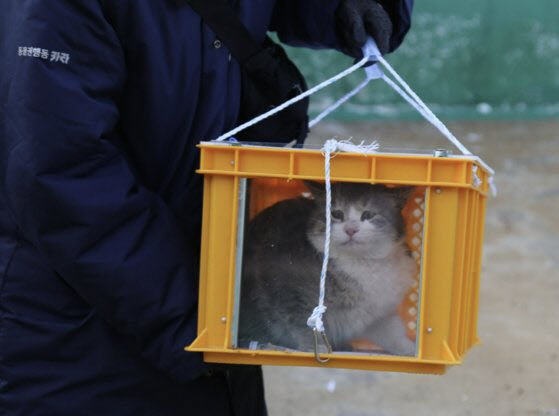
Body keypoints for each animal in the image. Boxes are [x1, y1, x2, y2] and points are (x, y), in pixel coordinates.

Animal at [238, 180, 418, 356]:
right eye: (336, 214)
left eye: (368, 215)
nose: (350, 230)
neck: (361, 262)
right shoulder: (286, 291)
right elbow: (302, 324)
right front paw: (315, 347)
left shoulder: (378, 314)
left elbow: (393, 334)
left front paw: (411, 350)